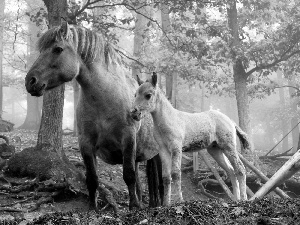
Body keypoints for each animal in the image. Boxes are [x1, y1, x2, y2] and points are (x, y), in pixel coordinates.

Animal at [24, 22, 163, 210]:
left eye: (58, 49)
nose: (30, 81)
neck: (104, 100)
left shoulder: (128, 138)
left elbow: (128, 175)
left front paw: (133, 206)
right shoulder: (86, 143)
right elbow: (92, 178)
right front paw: (92, 208)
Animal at [130, 72, 250, 206]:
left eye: (148, 95)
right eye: (135, 95)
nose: (134, 113)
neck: (169, 120)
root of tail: (230, 121)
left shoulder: (176, 148)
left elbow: (176, 173)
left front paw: (179, 200)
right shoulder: (163, 150)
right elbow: (166, 177)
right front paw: (166, 204)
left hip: (228, 146)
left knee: (240, 169)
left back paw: (243, 198)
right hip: (215, 150)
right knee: (231, 171)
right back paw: (235, 199)